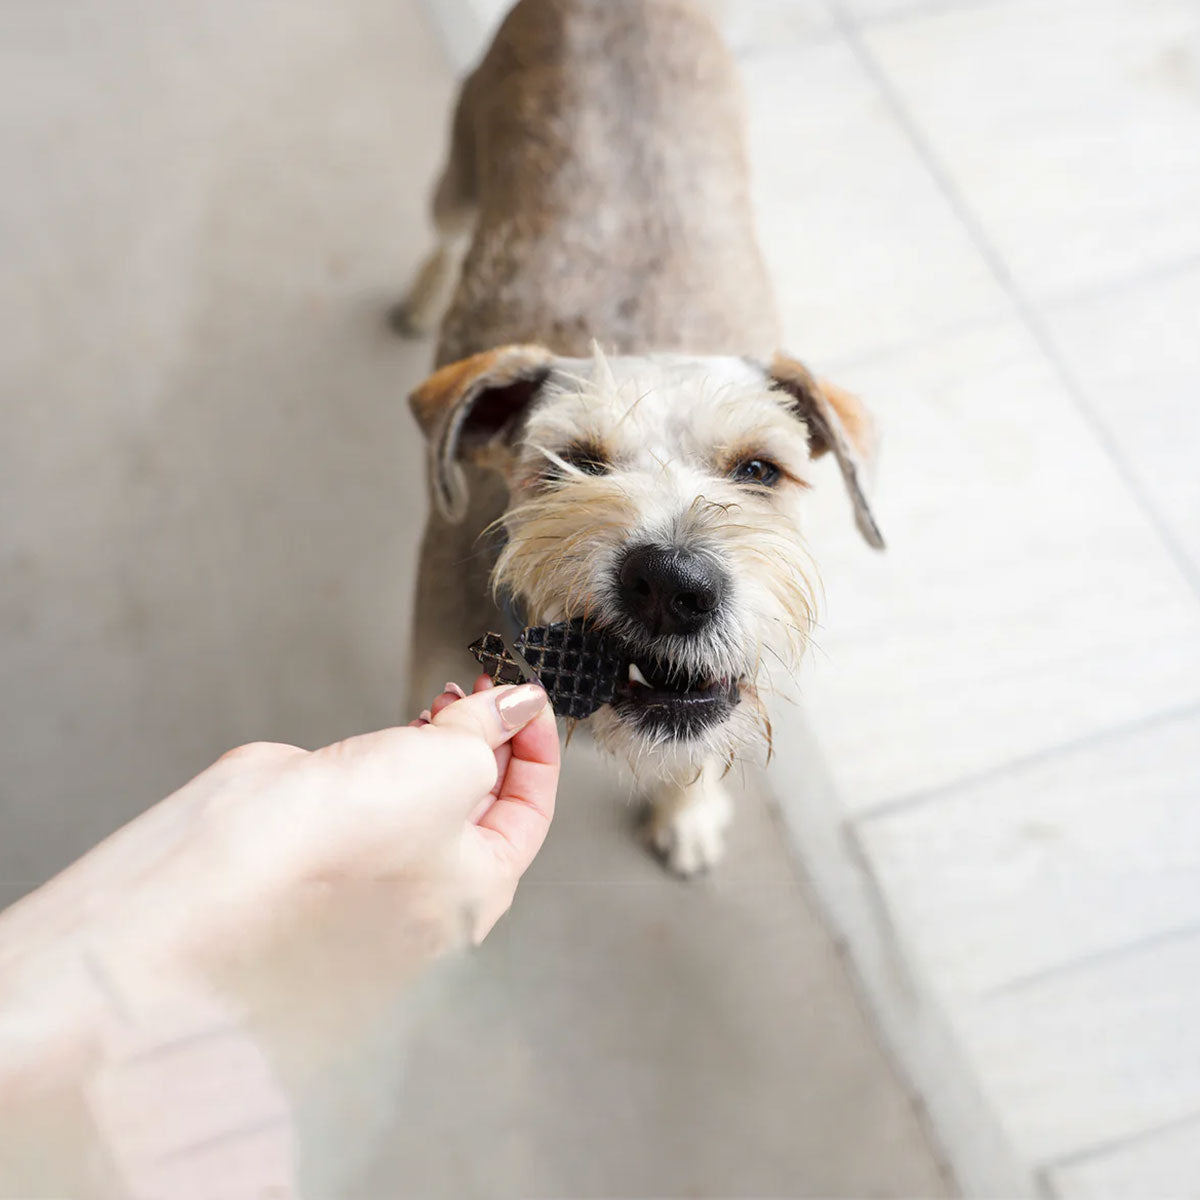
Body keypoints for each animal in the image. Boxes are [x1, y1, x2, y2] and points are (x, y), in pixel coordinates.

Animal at [400, 0, 883, 878]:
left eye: (761, 469)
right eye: (568, 466)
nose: (672, 583)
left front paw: (687, 814)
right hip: (457, 174)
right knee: (445, 235)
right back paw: (420, 300)